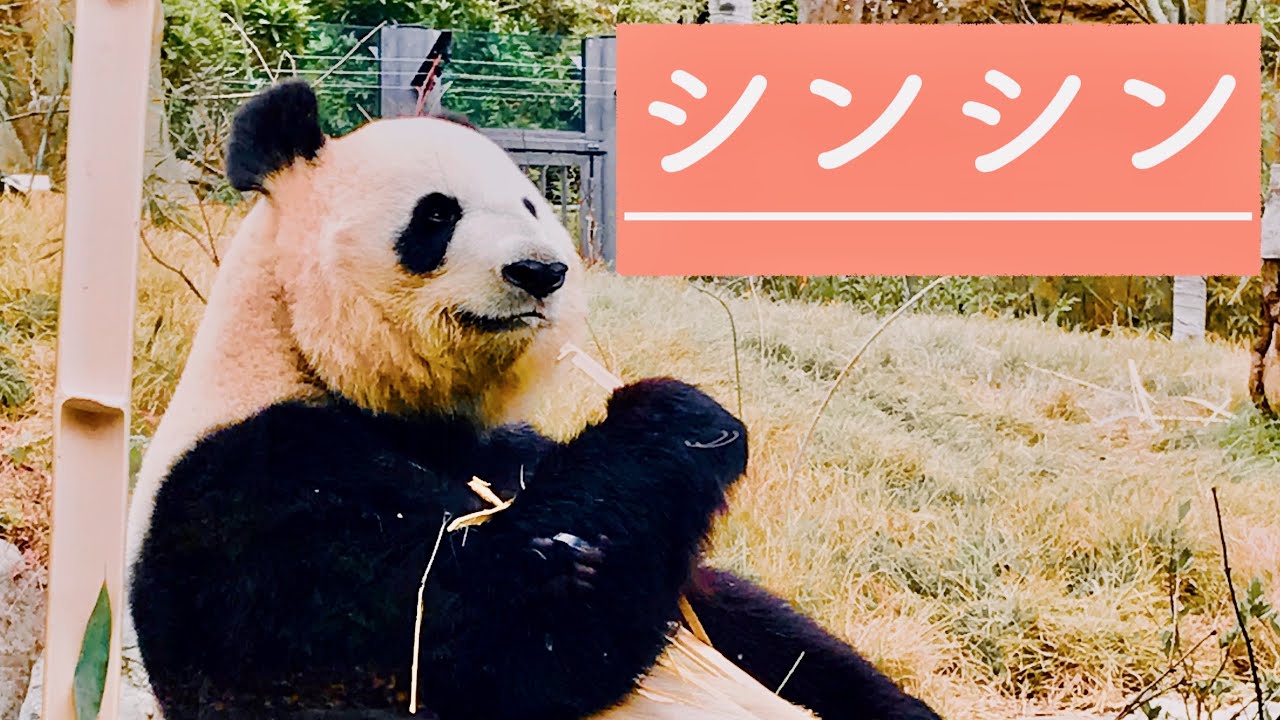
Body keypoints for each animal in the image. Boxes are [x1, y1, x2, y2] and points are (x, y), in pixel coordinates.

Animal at [123, 79, 942, 720]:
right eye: (436, 215)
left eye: (530, 204)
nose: (540, 271)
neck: (298, 347)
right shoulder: (256, 491)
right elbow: (492, 629)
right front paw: (678, 421)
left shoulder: (509, 449)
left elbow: (750, 623)